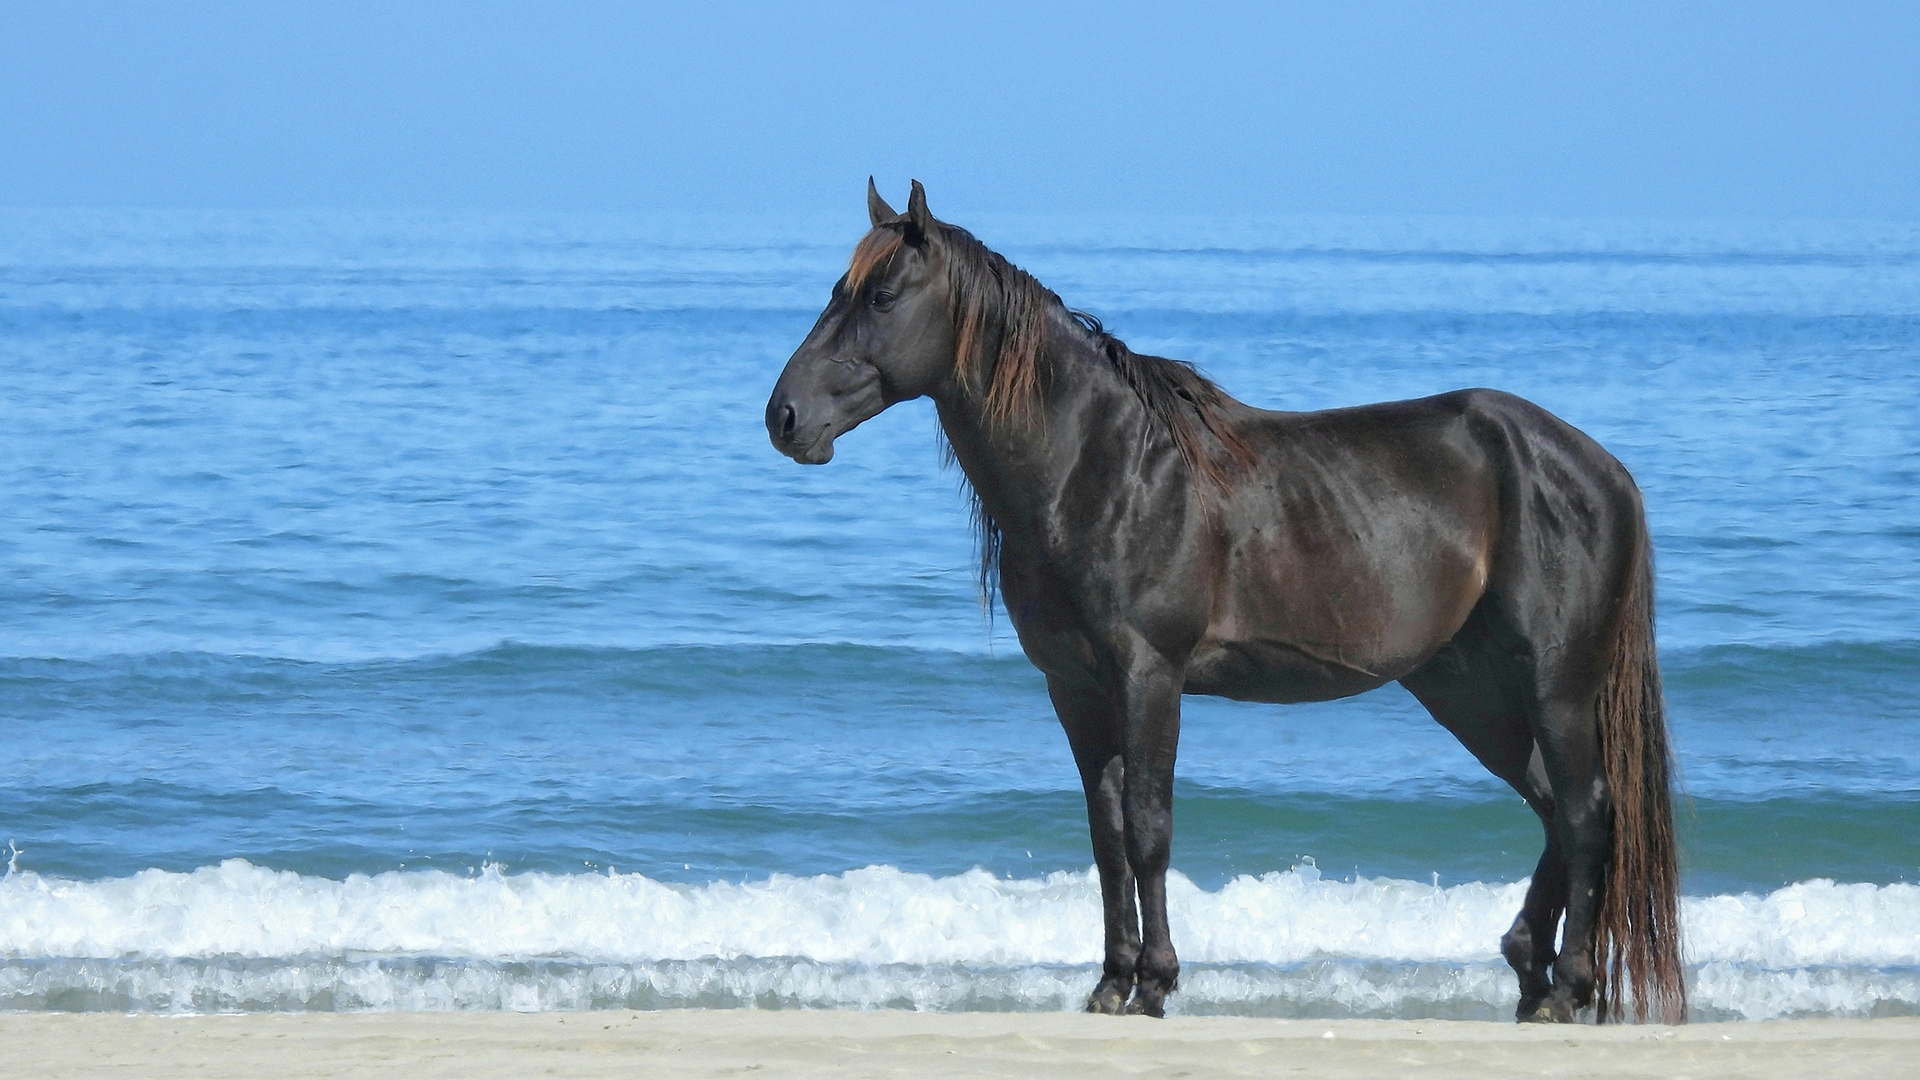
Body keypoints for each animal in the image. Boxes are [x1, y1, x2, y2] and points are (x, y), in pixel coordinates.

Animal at [764, 180, 1686, 1024]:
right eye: (838, 290)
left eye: (882, 297)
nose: (785, 417)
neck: (1101, 467)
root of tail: (1601, 468)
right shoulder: (1077, 688)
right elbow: (1105, 835)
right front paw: (1110, 981)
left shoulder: (1150, 676)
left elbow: (1148, 826)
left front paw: (1156, 983)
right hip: (1473, 692)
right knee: (1553, 810)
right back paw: (1529, 974)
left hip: (1554, 685)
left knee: (1587, 813)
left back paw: (1567, 988)